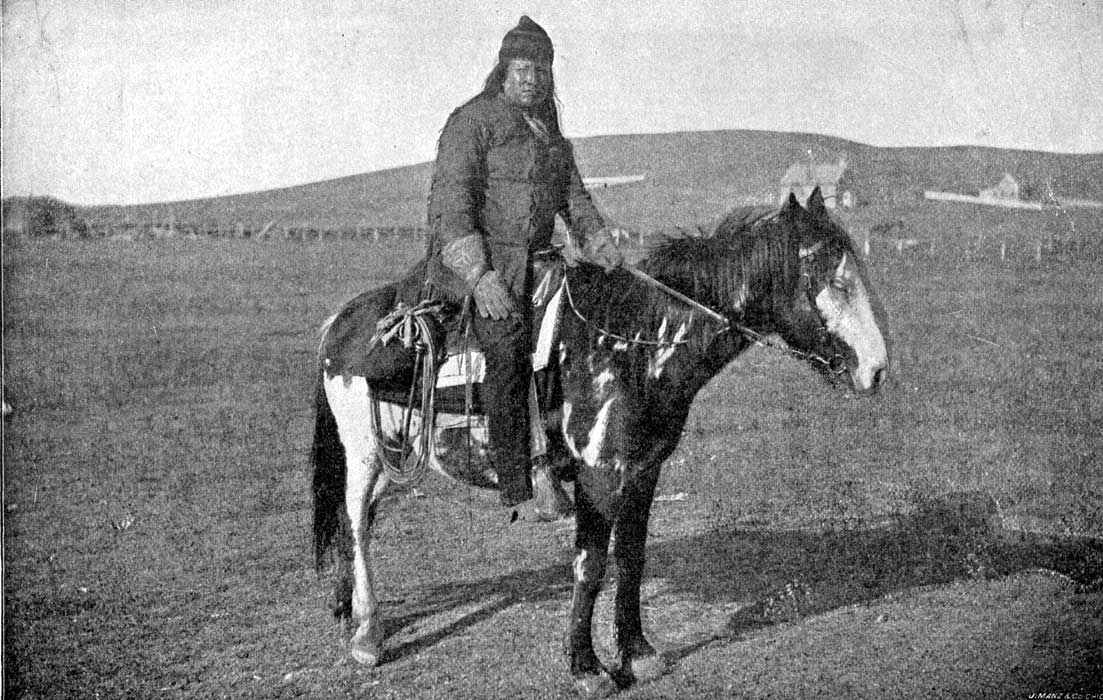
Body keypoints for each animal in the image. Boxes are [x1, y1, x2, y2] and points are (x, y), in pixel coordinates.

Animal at [310, 188, 890, 696]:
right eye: (834, 279)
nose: (877, 370)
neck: (633, 342)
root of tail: (338, 322)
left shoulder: (644, 471)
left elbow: (631, 559)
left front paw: (638, 653)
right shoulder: (597, 475)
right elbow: (589, 568)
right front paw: (586, 667)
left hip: (390, 455)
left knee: (349, 518)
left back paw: (347, 608)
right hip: (364, 453)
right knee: (356, 521)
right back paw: (368, 634)